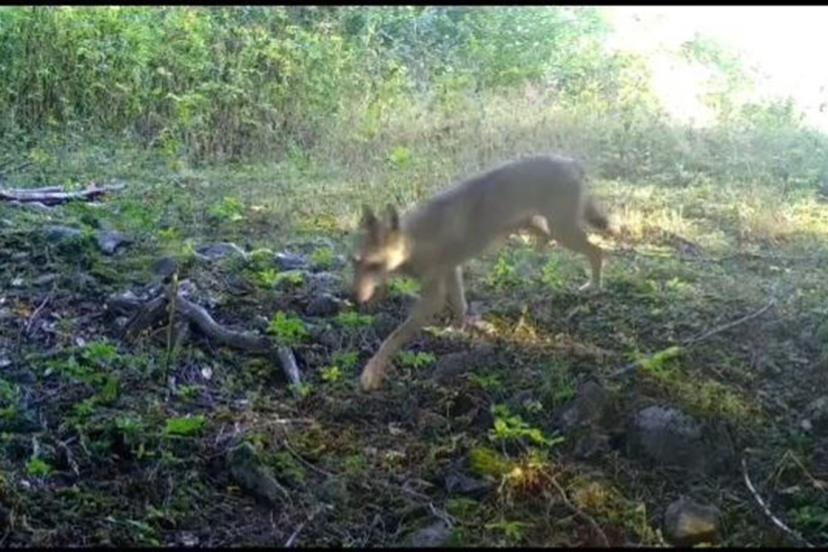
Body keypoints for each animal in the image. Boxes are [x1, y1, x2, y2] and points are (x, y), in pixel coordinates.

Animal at [351, 154, 610, 391]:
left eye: (374, 265)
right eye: (355, 263)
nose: (353, 298)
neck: (414, 243)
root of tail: (571, 162)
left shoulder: (433, 296)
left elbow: (393, 338)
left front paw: (372, 371)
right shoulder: (451, 271)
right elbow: (460, 308)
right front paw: (460, 330)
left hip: (563, 230)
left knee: (598, 251)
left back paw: (594, 286)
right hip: (533, 225)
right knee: (553, 239)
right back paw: (540, 255)